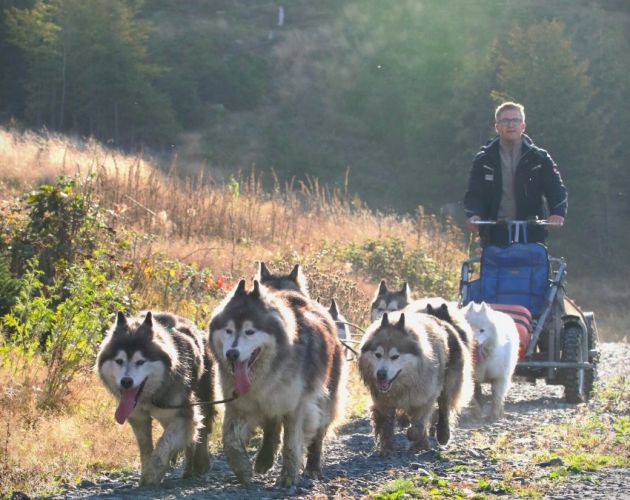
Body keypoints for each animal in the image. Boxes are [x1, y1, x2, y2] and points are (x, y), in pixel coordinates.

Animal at [96, 312, 215, 484]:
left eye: (140, 361)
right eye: (119, 361)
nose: (126, 382)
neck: (149, 397)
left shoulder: (184, 414)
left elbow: (164, 443)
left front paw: (153, 473)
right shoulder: (138, 418)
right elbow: (146, 449)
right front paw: (147, 472)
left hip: (202, 399)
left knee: (201, 431)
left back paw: (199, 463)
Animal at [210, 280, 344, 486]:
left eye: (250, 331)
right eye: (228, 330)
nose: (231, 354)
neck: (264, 376)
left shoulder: (294, 405)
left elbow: (291, 443)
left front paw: (288, 476)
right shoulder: (239, 405)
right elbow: (230, 441)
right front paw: (242, 468)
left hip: (324, 399)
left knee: (318, 434)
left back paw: (312, 467)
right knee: (272, 427)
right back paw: (264, 459)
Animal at [360, 310, 474, 452]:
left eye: (395, 356)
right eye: (377, 355)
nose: (381, 374)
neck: (403, 385)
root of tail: (444, 322)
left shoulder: (425, 397)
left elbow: (418, 425)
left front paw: (413, 435)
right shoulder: (383, 401)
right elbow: (386, 424)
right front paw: (386, 448)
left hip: (449, 384)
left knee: (444, 407)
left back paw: (441, 435)